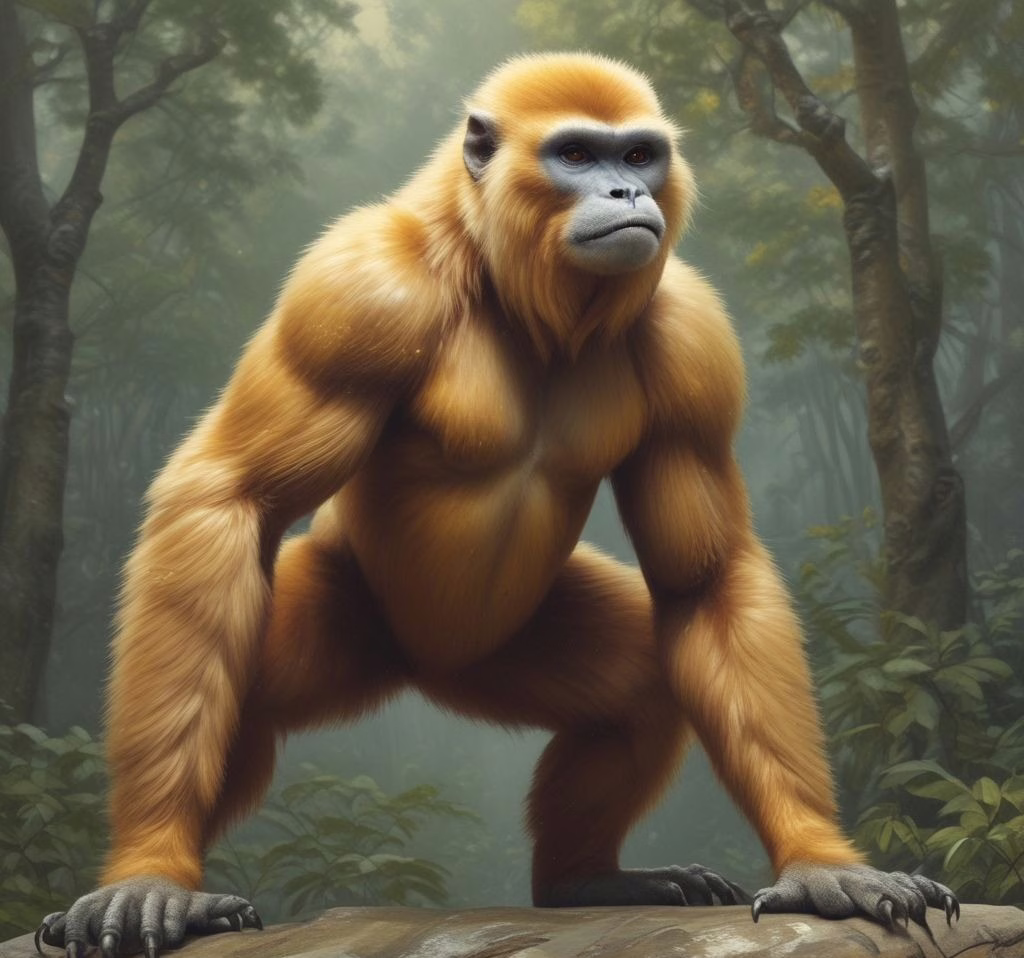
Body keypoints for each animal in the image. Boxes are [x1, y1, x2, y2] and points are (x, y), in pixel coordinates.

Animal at [37, 53, 958, 958]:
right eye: (576, 155)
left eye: (638, 156)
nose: (628, 194)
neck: (512, 284)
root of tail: (417, 667)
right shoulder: (354, 289)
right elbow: (229, 496)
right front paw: (150, 870)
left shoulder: (694, 337)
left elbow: (706, 574)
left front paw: (818, 859)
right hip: (344, 616)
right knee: (236, 683)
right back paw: (163, 860)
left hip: (496, 654)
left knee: (642, 686)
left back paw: (581, 880)